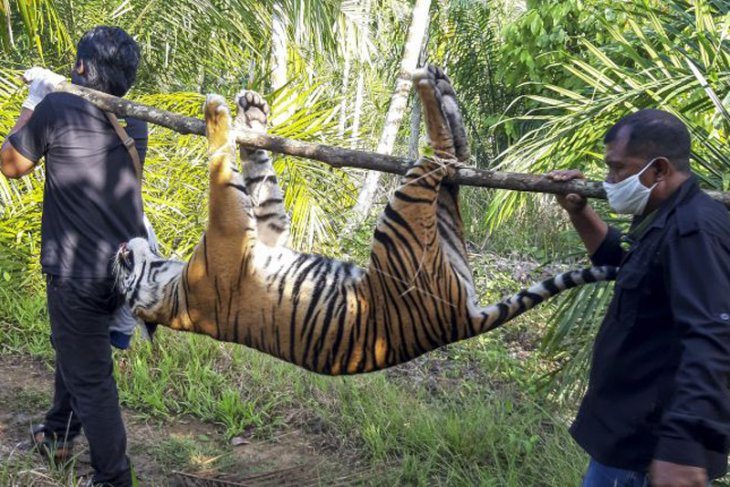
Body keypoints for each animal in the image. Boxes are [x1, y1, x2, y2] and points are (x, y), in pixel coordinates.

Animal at [114, 65, 616, 376]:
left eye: (120, 268)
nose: (120, 249)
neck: (176, 288)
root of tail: (462, 323)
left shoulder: (267, 230)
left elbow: (261, 174)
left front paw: (251, 112)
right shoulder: (229, 231)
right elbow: (220, 167)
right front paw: (215, 113)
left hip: (446, 238)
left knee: (456, 166)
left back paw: (442, 87)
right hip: (404, 220)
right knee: (442, 158)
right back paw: (428, 87)